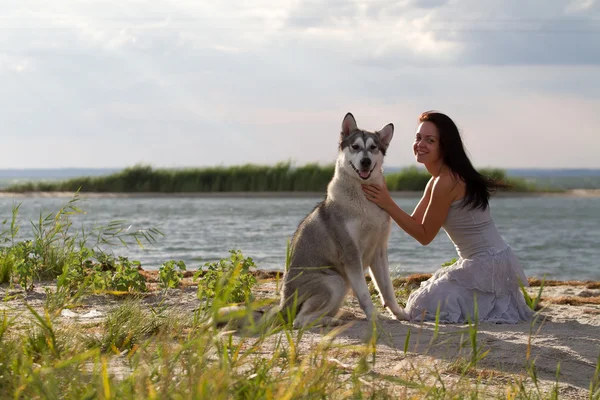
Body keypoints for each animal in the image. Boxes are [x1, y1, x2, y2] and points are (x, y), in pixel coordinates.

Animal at [278, 112, 410, 328]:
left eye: (373, 147)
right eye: (355, 146)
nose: (365, 161)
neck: (364, 202)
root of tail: (282, 305)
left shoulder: (379, 251)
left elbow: (387, 290)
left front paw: (398, 313)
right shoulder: (351, 254)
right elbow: (364, 294)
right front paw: (374, 316)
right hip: (335, 281)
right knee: (299, 321)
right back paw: (333, 321)